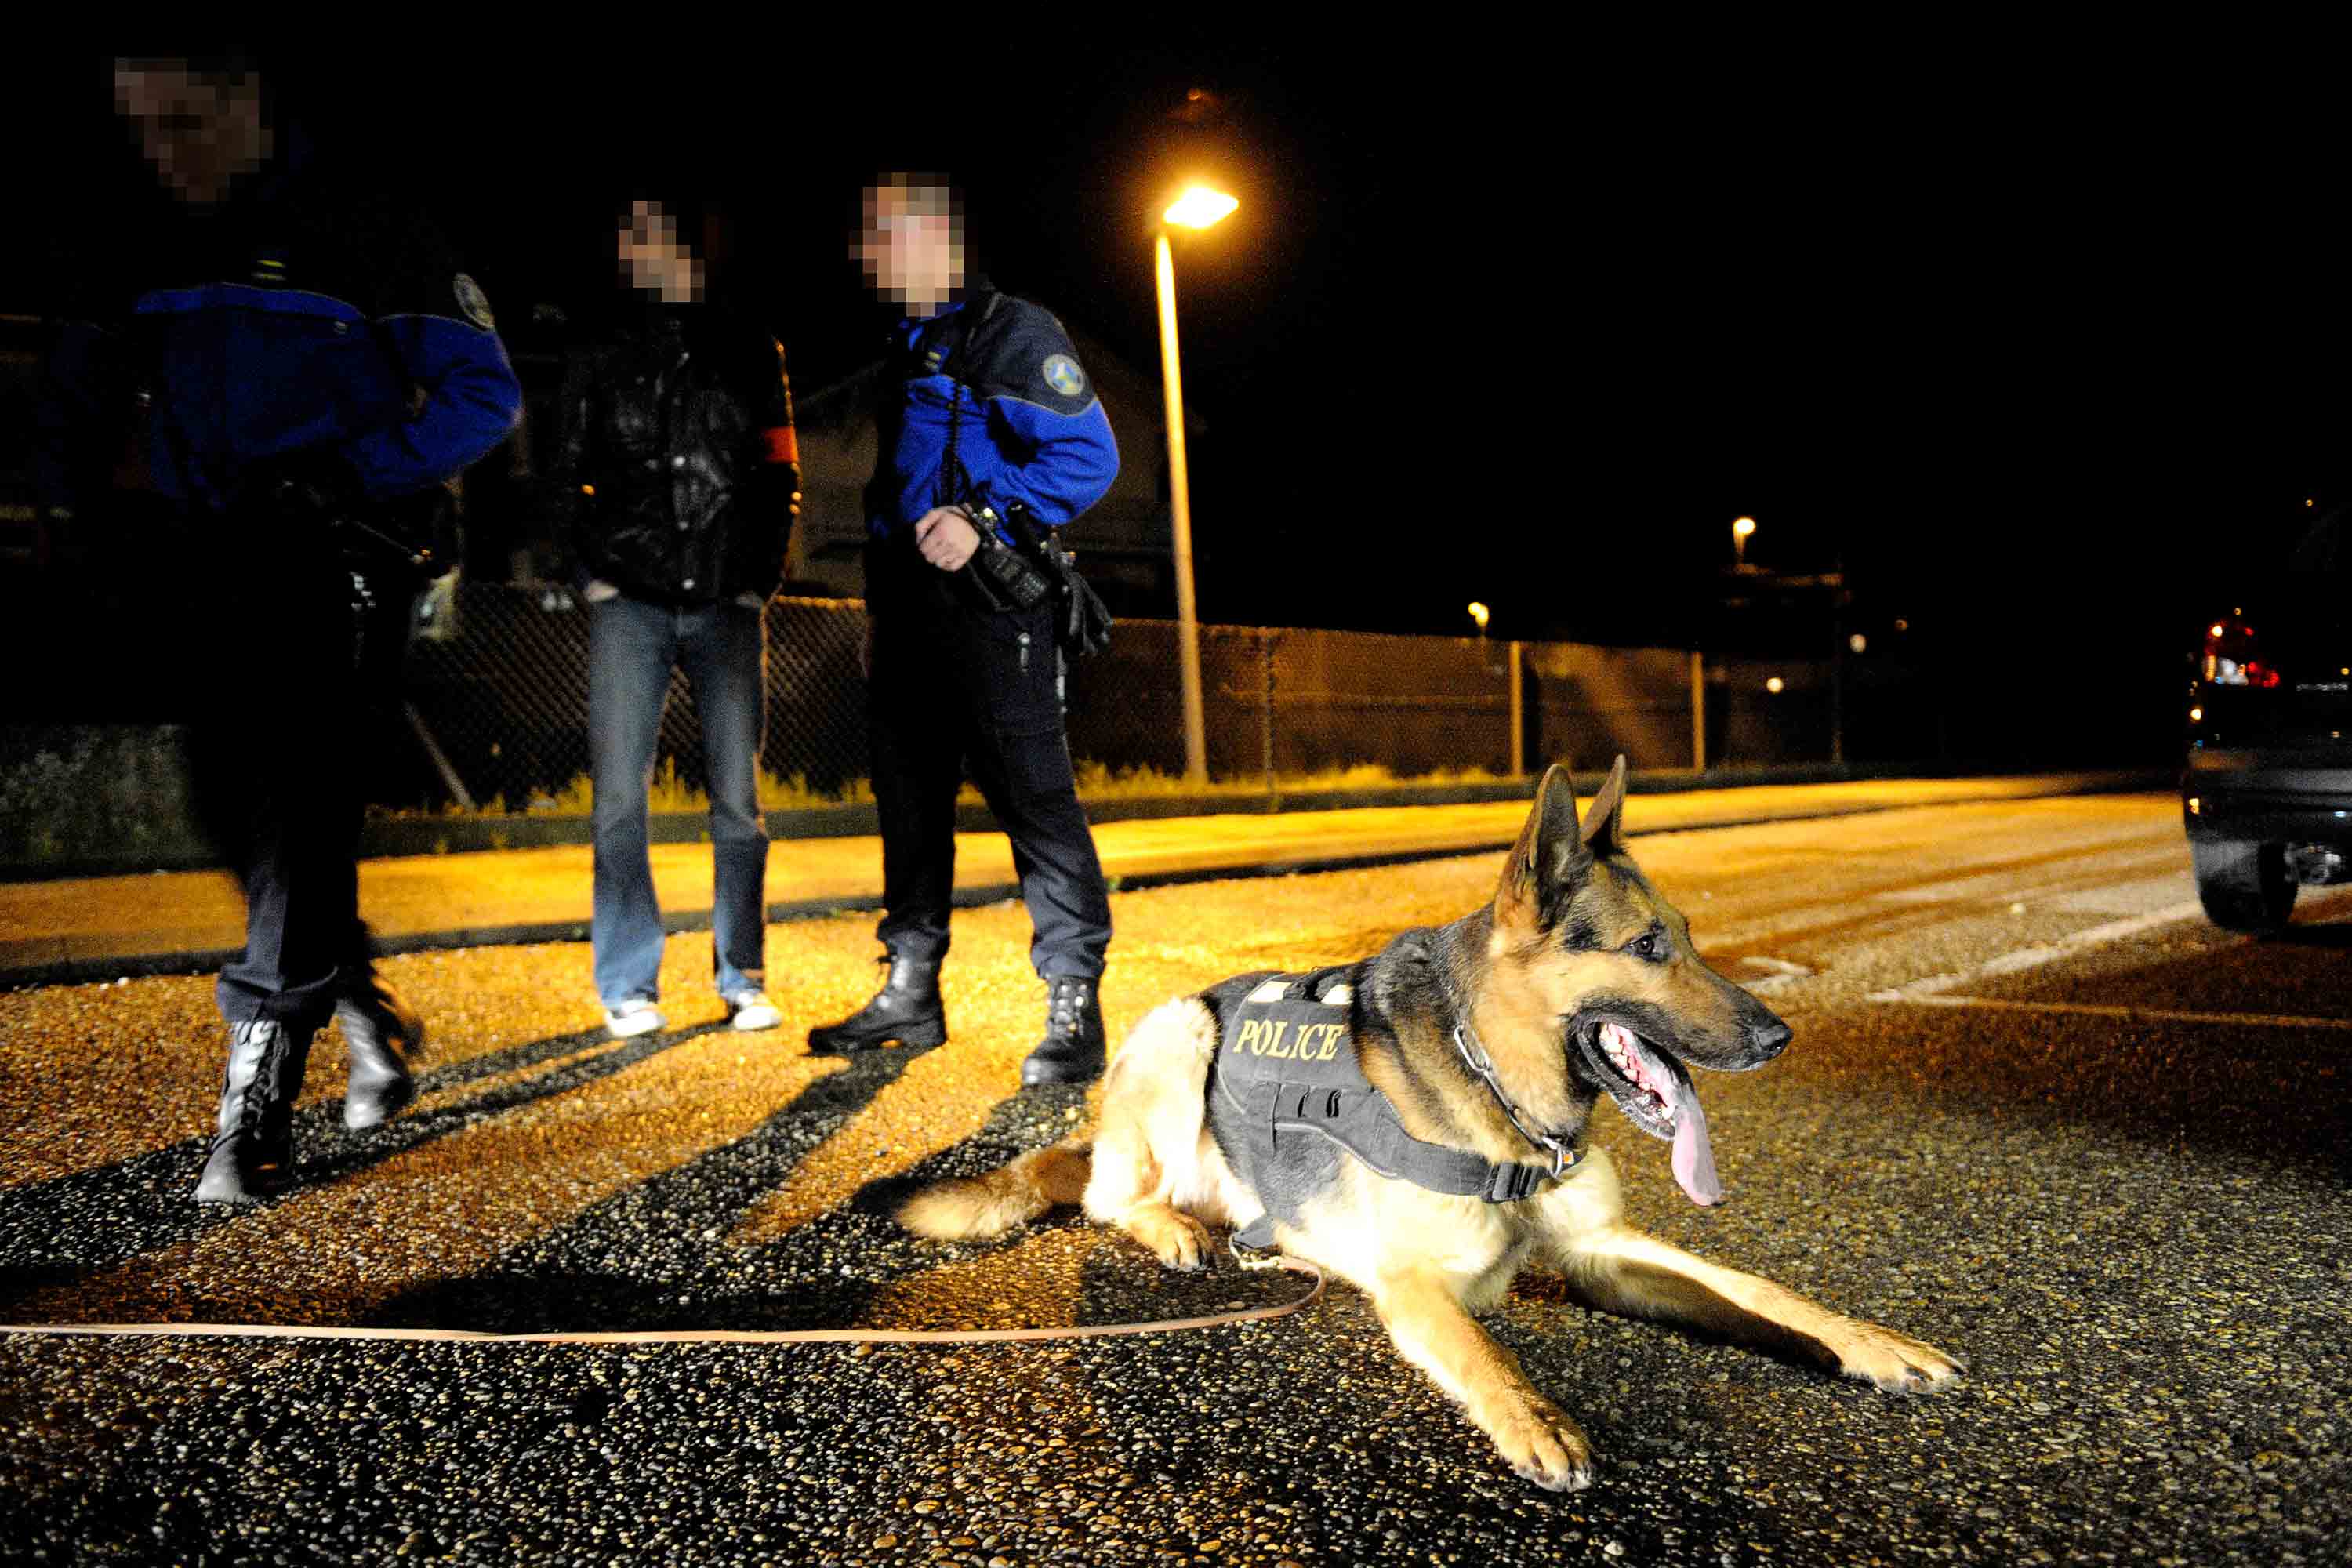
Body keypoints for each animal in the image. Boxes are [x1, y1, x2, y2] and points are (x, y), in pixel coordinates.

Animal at [899, 758, 1960, 1490]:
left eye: (1692, 938)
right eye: (1649, 947)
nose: (1781, 1035)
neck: (1504, 1096)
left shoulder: (1605, 1249)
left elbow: (1757, 1288)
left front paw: (1868, 1341)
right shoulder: (1414, 1284)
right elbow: (1484, 1348)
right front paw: (1533, 1416)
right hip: (1179, 1030)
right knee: (1107, 1194)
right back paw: (1174, 1227)